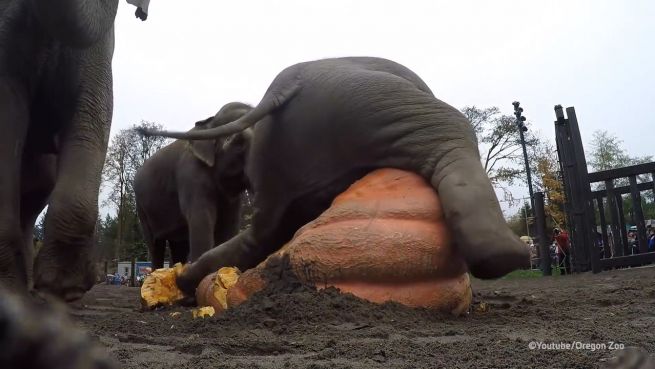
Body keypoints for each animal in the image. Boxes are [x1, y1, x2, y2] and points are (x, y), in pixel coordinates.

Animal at [135, 102, 252, 268]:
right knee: (155, 245)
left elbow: (229, 223)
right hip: (142, 209)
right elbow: (201, 218)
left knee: (179, 246)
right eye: (235, 140)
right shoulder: (190, 174)